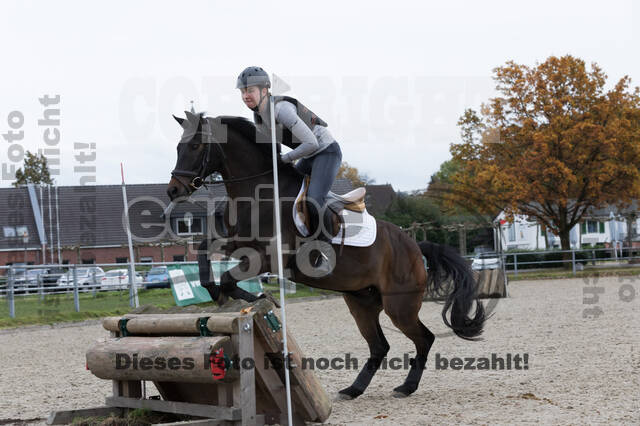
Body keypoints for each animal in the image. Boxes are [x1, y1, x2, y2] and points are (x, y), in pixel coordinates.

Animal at [166, 112, 484, 400]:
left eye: (195, 146)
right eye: (179, 146)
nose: (173, 190)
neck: (257, 195)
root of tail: (416, 247)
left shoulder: (267, 257)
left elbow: (231, 279)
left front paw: (258, 298)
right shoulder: (236, 242)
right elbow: (204, 250)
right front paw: (216, 291)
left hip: (399, 305)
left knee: (423, 338)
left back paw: (406, 387)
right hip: (361, 302)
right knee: (379, 346)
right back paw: (354, 390)